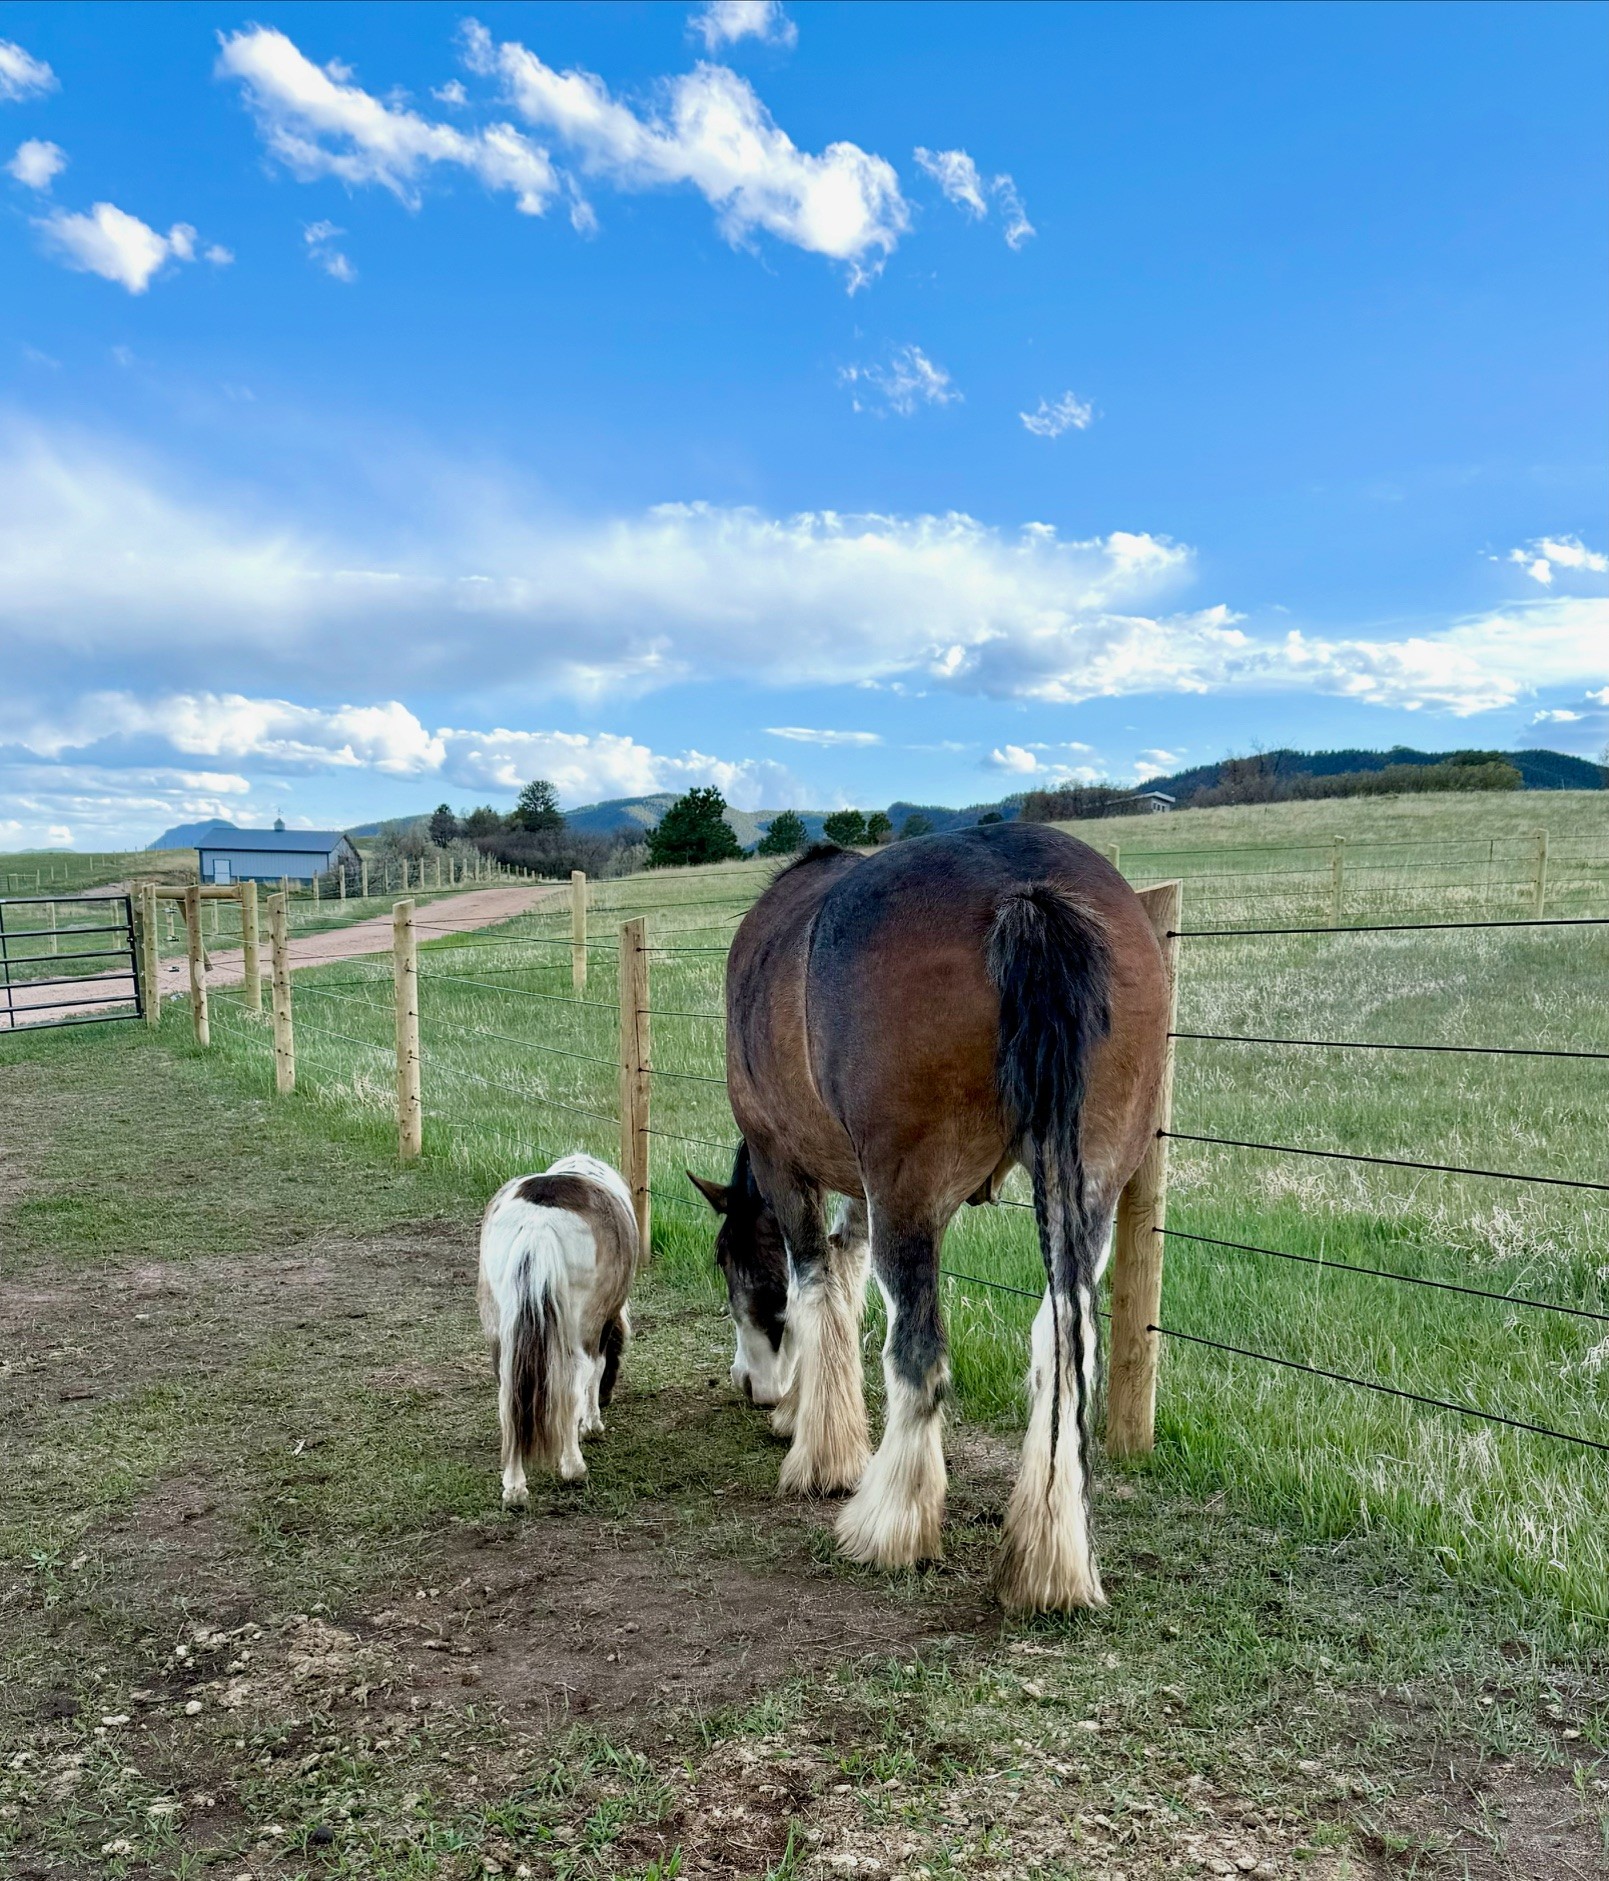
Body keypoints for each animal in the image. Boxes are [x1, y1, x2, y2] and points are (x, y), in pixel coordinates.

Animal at [478, 1152, 639, 1503]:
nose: (607, 1399)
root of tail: (538, 1222)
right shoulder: (603, 1325)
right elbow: (597, 1370)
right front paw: (591, 1425)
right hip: (582, 1328)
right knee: (575, 1379)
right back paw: (573, 1467)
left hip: (500, 1330)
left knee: (508, 1394)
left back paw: (514, 1488)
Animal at [687, 822, 1170, 1610]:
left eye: (725, 1259)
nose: (750, 1386)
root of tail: (1024, 891)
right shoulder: (858, 1187)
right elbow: (843, 1281)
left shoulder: (786, 1164)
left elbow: (815, 1286)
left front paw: (820, 1452)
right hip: (1085, 1187)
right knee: (1063, 1345)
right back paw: (1048, 1564)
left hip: (910, 1200)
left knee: (919, 1352)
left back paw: (889, 1527)